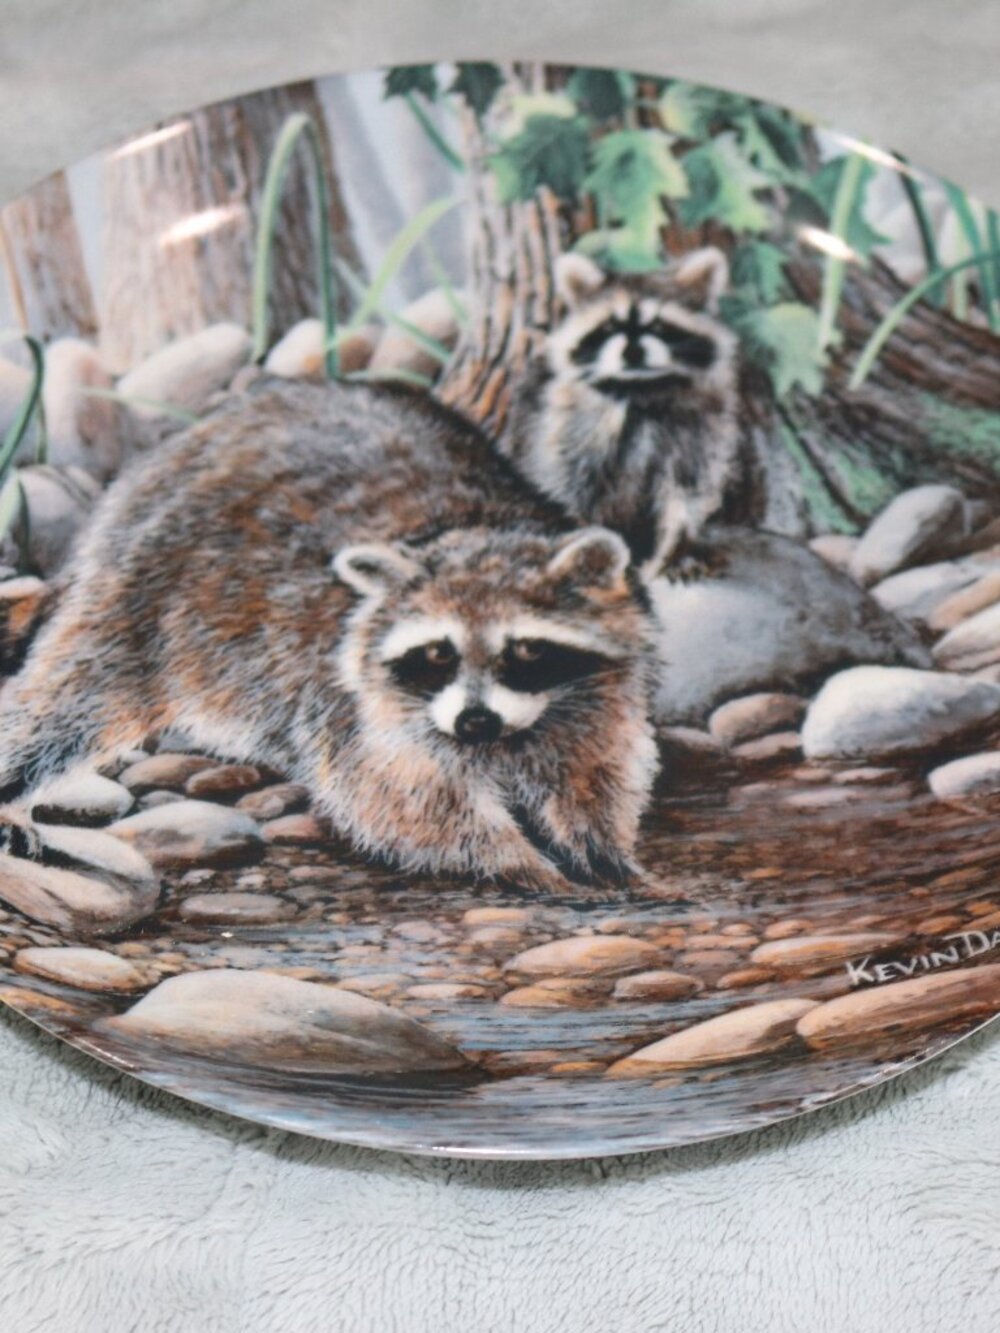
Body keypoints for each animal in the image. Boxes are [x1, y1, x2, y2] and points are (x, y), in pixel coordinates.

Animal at [0, 378, 659, 894]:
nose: (474, 722)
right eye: (438, 653)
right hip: (142, 594)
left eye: (525, 648)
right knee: (65, 705)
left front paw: (602, 848)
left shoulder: (599, 695)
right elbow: (405, 800)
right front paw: (515, 860)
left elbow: (593, 774)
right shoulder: (363, 706)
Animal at [504, 247, 743, 577]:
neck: (638, 389)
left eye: (658, 326)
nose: (632, 351)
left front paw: (671, 552)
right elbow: (569, 486)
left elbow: (683, 494)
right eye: (609, 327)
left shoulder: (699, 431)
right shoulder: (567, 430)